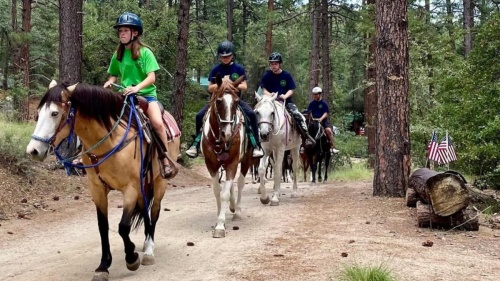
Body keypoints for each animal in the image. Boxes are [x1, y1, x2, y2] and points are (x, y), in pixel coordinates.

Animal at [25, 80, 182, 280]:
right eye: (38, 113)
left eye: (54, 113)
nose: (33, 150)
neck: (110, 141)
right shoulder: (98, 189)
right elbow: (103, 227)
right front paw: (103, 266)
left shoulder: (130, 189)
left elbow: (123, 226)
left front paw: (131, 257)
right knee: (146, 212)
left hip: (159, 182)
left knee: (154, 212)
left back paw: (148, 250)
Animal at [200, 73, 254, 237]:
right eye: (218, 101)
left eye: (236, 102)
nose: (228, 134)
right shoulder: (211, 164)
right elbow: (218, 191)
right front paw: (219, 217)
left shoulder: (232, 163)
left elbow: (224, 193)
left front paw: (220, 226)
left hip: (247, 159)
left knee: (240, 183)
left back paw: (237, 211)